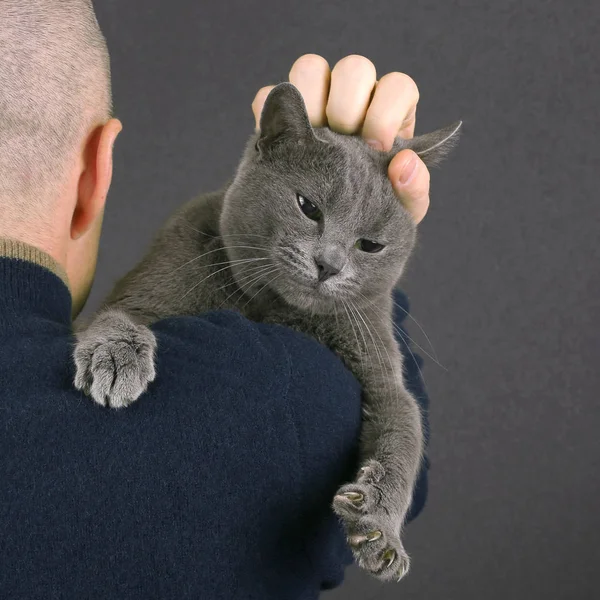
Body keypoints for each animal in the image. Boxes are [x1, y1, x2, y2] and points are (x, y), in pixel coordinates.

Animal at [72, 82, 462, 584]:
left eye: (371, 245)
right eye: (308, 207)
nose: (329, 264)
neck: (272, 308)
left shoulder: (379, 362)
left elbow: (404, 429)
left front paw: (378, 528)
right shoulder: (158, 276)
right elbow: (120, 315)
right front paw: (118, 361)